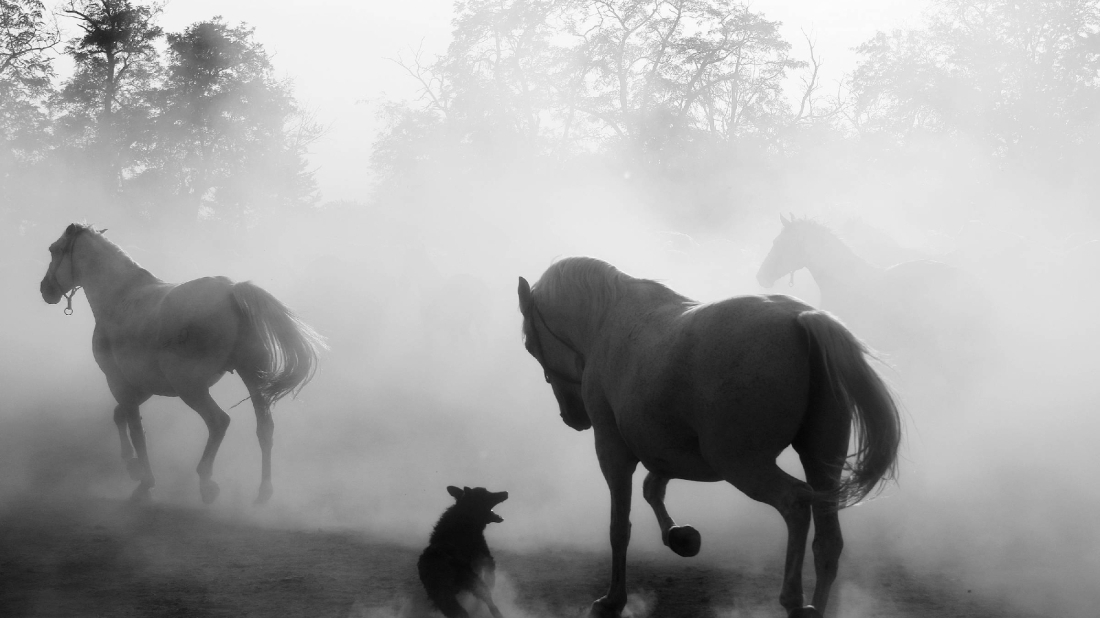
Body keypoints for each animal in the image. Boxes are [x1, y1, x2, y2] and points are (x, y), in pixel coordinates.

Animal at [40, 223, 323, 503]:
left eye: (54, 250)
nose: (45, 289)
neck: (121, 296)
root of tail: (232, 291)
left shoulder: (119, 382)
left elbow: (136, 431)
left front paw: (145, 482)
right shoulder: (143, 386)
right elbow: (120, 416)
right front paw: (131, 465)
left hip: (192, 388)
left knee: (219, 422)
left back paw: (206, 482)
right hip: (252, 378)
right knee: (264, 429)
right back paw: (264, 490)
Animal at [418, 483, 508, 611]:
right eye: (486, 494)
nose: (506, 492)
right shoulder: (487, 560)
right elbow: (491, 583)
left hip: (443, 597)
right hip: (472, 582)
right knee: (490, 604)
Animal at [519, 256, 897, 615]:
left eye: (530, 344)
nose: (574, 417)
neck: (608, 321)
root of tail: (801, 319)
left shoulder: (614, 451)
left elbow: (619, 527)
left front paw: (613, 600)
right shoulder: (668, 451)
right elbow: (652, 489)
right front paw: (680, 537)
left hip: (740, 464)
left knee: (795, 504)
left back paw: (794, 600)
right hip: (822, 462)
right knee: (828, 543)